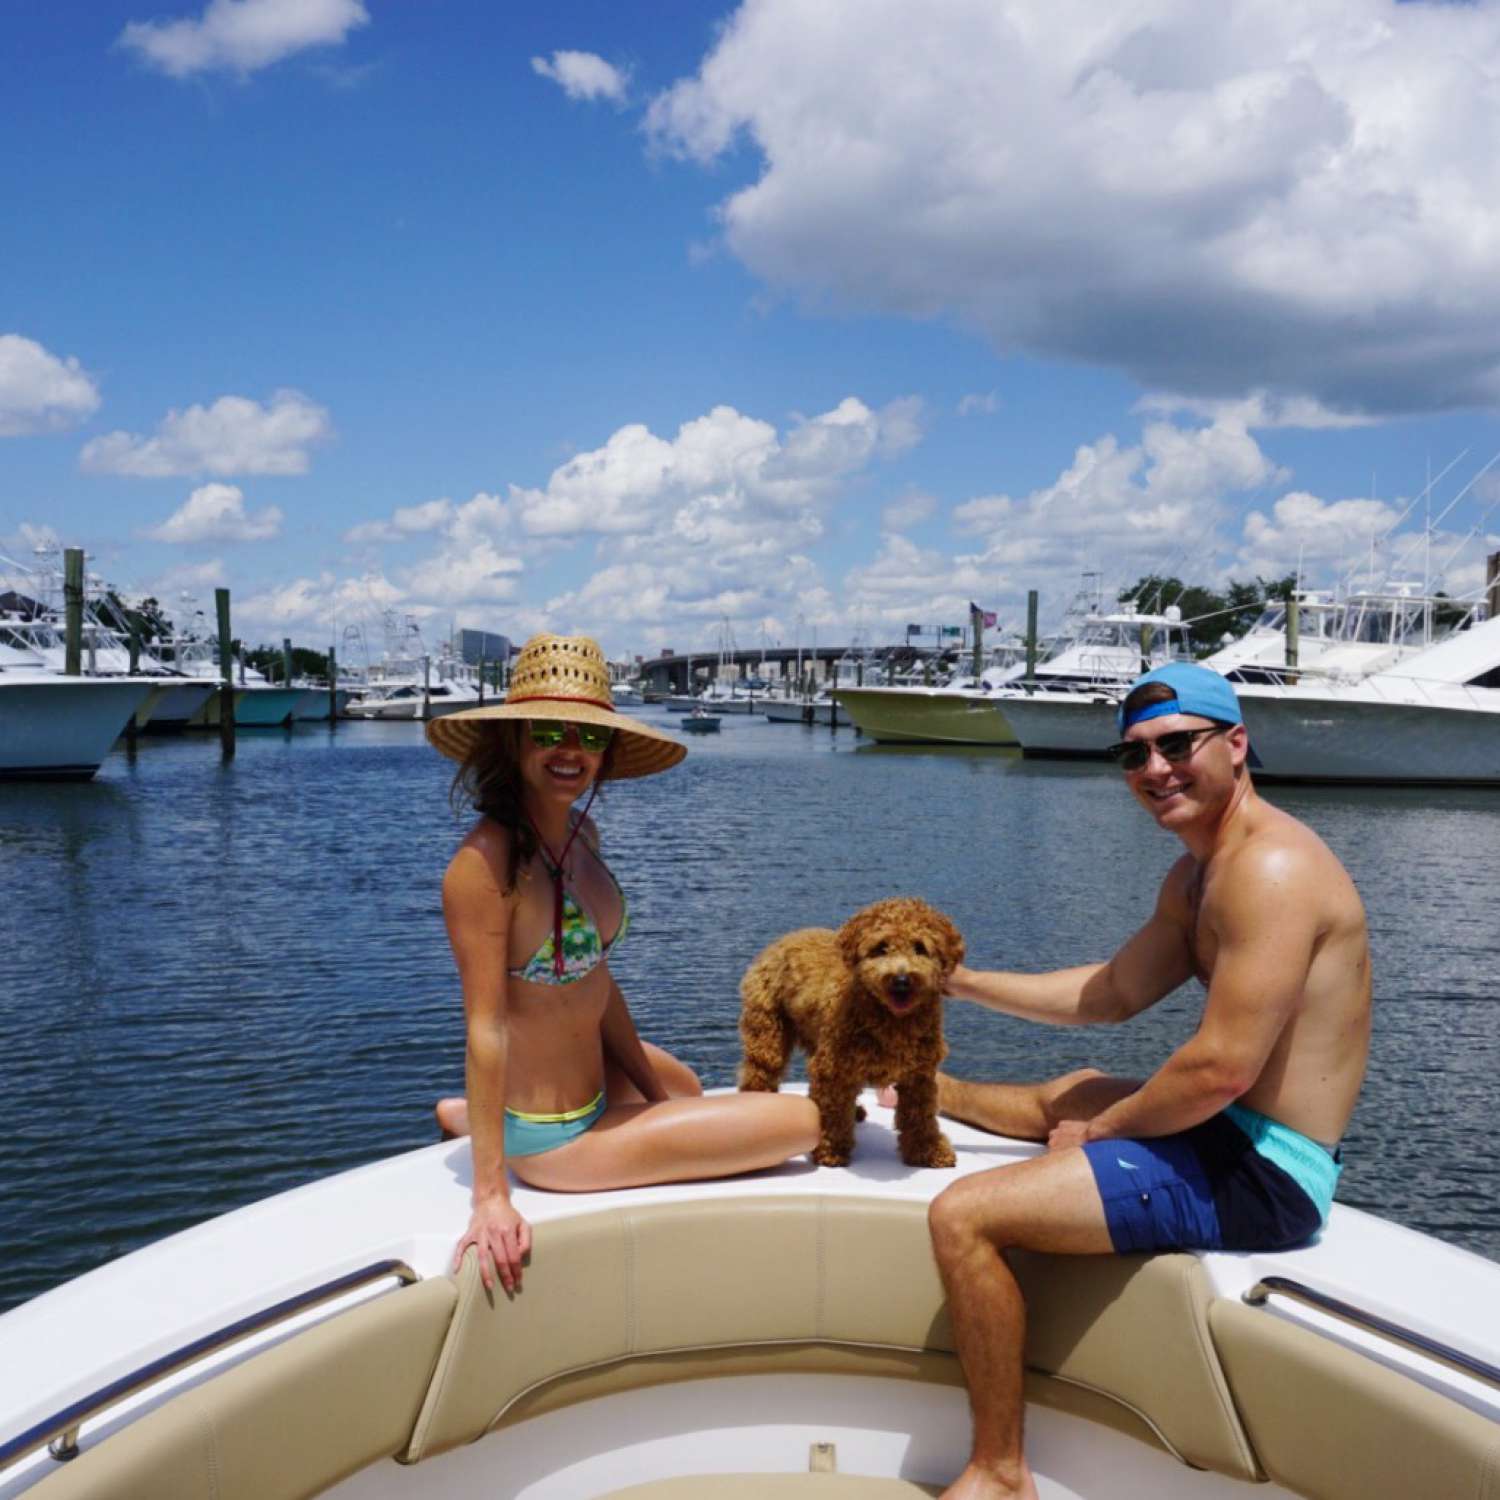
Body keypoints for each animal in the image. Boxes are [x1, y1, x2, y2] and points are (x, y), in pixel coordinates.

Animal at [735, 894, 960, 1164]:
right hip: (768, 1030)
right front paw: (830, 1149)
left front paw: (928, 1151)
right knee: (760, 1070)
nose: (901, 980)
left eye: (920, 948)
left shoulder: (919, 1076)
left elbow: (921, 1117)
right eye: (881, 947)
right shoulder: (833, 1069)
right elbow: (832, 1112)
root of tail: (782, 940)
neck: (891, 1018)